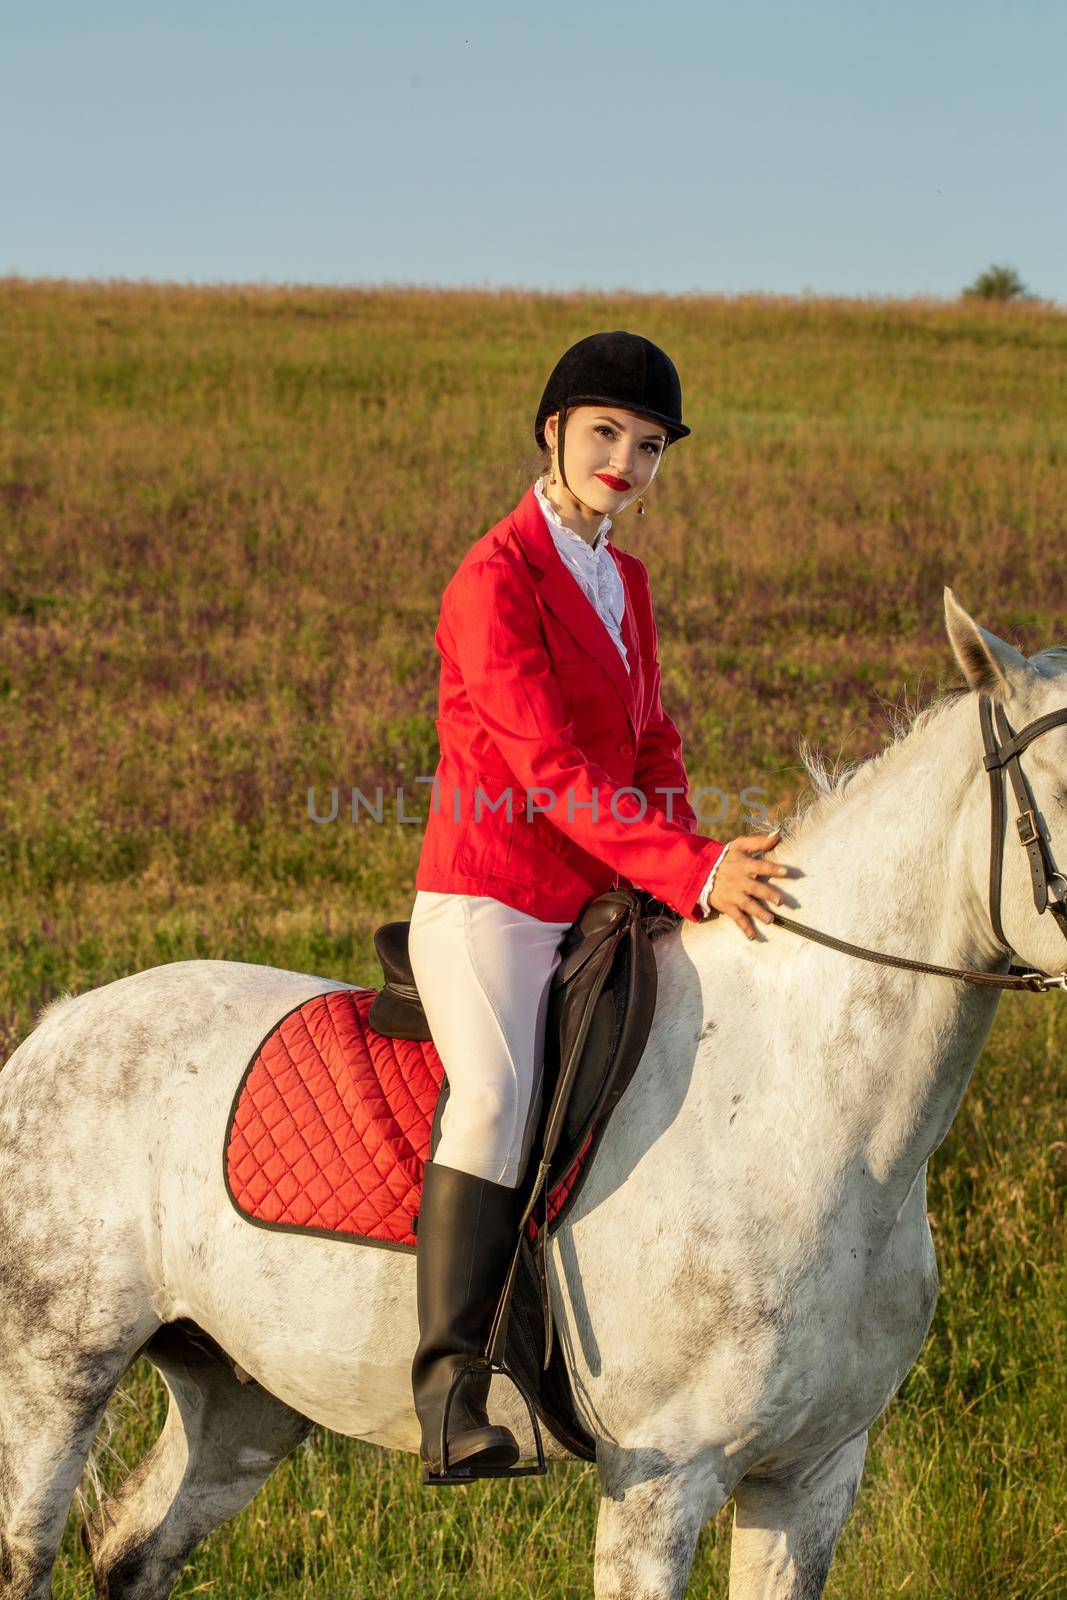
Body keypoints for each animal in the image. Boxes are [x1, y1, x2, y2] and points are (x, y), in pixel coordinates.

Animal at [0, 592, 1062, 1600]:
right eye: (1060, 785)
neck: (809, 1116)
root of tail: (56, 1025)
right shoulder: (661, 1481)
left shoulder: (812, 1473)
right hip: (53, 1377)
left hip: (241, 1396)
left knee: (135, 1551)